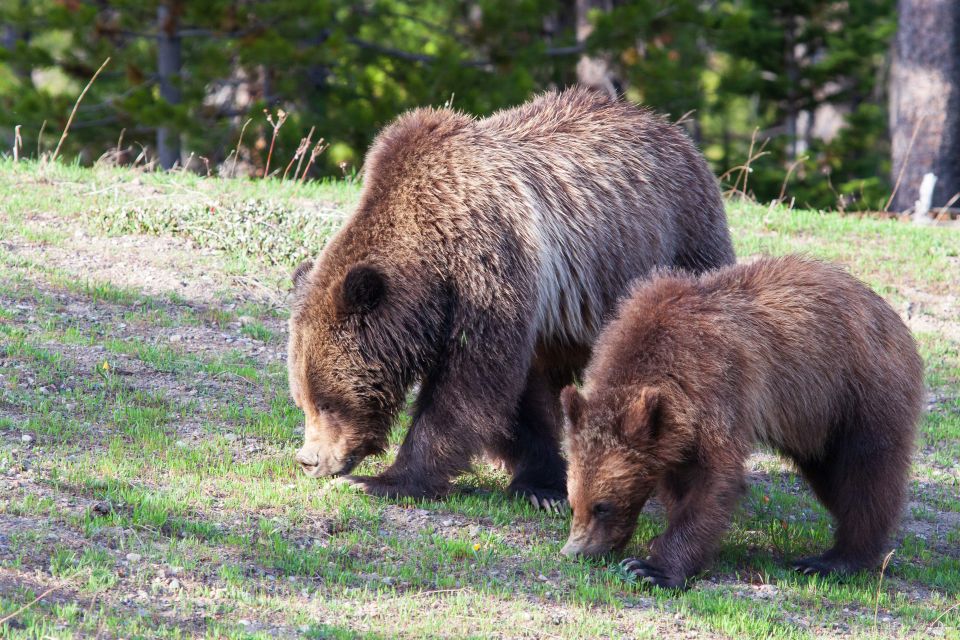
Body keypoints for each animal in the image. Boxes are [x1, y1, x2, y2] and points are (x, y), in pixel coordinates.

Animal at [288, 86, 732, 504]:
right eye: (302, 398)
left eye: (327, 401)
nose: (309, 461)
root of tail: (670, 128)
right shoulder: (526, 310)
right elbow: (518, 397)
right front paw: (540, 484)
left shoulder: (490, 269)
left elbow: (471, 386)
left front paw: (386, 480)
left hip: (680, 243)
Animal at [564, 254, 924, 584]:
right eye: (572, 502)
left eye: (602, 505)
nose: (576, 552)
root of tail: (891, 315)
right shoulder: (674, 432)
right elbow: (680, 483)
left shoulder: (719, 389)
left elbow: (713, 480)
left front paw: (652, 567)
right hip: (817, 424)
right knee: (831, 475)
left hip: (858, 392)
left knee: (865, 473)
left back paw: (835, 559)